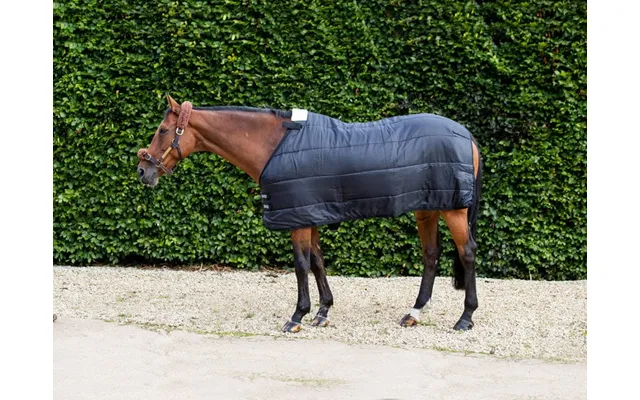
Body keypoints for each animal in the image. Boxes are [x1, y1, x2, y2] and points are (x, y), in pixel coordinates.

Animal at [137, 95, 483, 332]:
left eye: (163, 129)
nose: (142, 170)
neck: (274, 146)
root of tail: (467, 135)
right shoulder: (309, 213)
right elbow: (317, 261)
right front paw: (322, 311)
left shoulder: (298, 218)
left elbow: (301, 264)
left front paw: (298, 316)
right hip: (428, 208)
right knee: (431, 254)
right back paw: (414, 312)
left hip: (454, 209)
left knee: (467, 252)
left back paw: (465, 318)